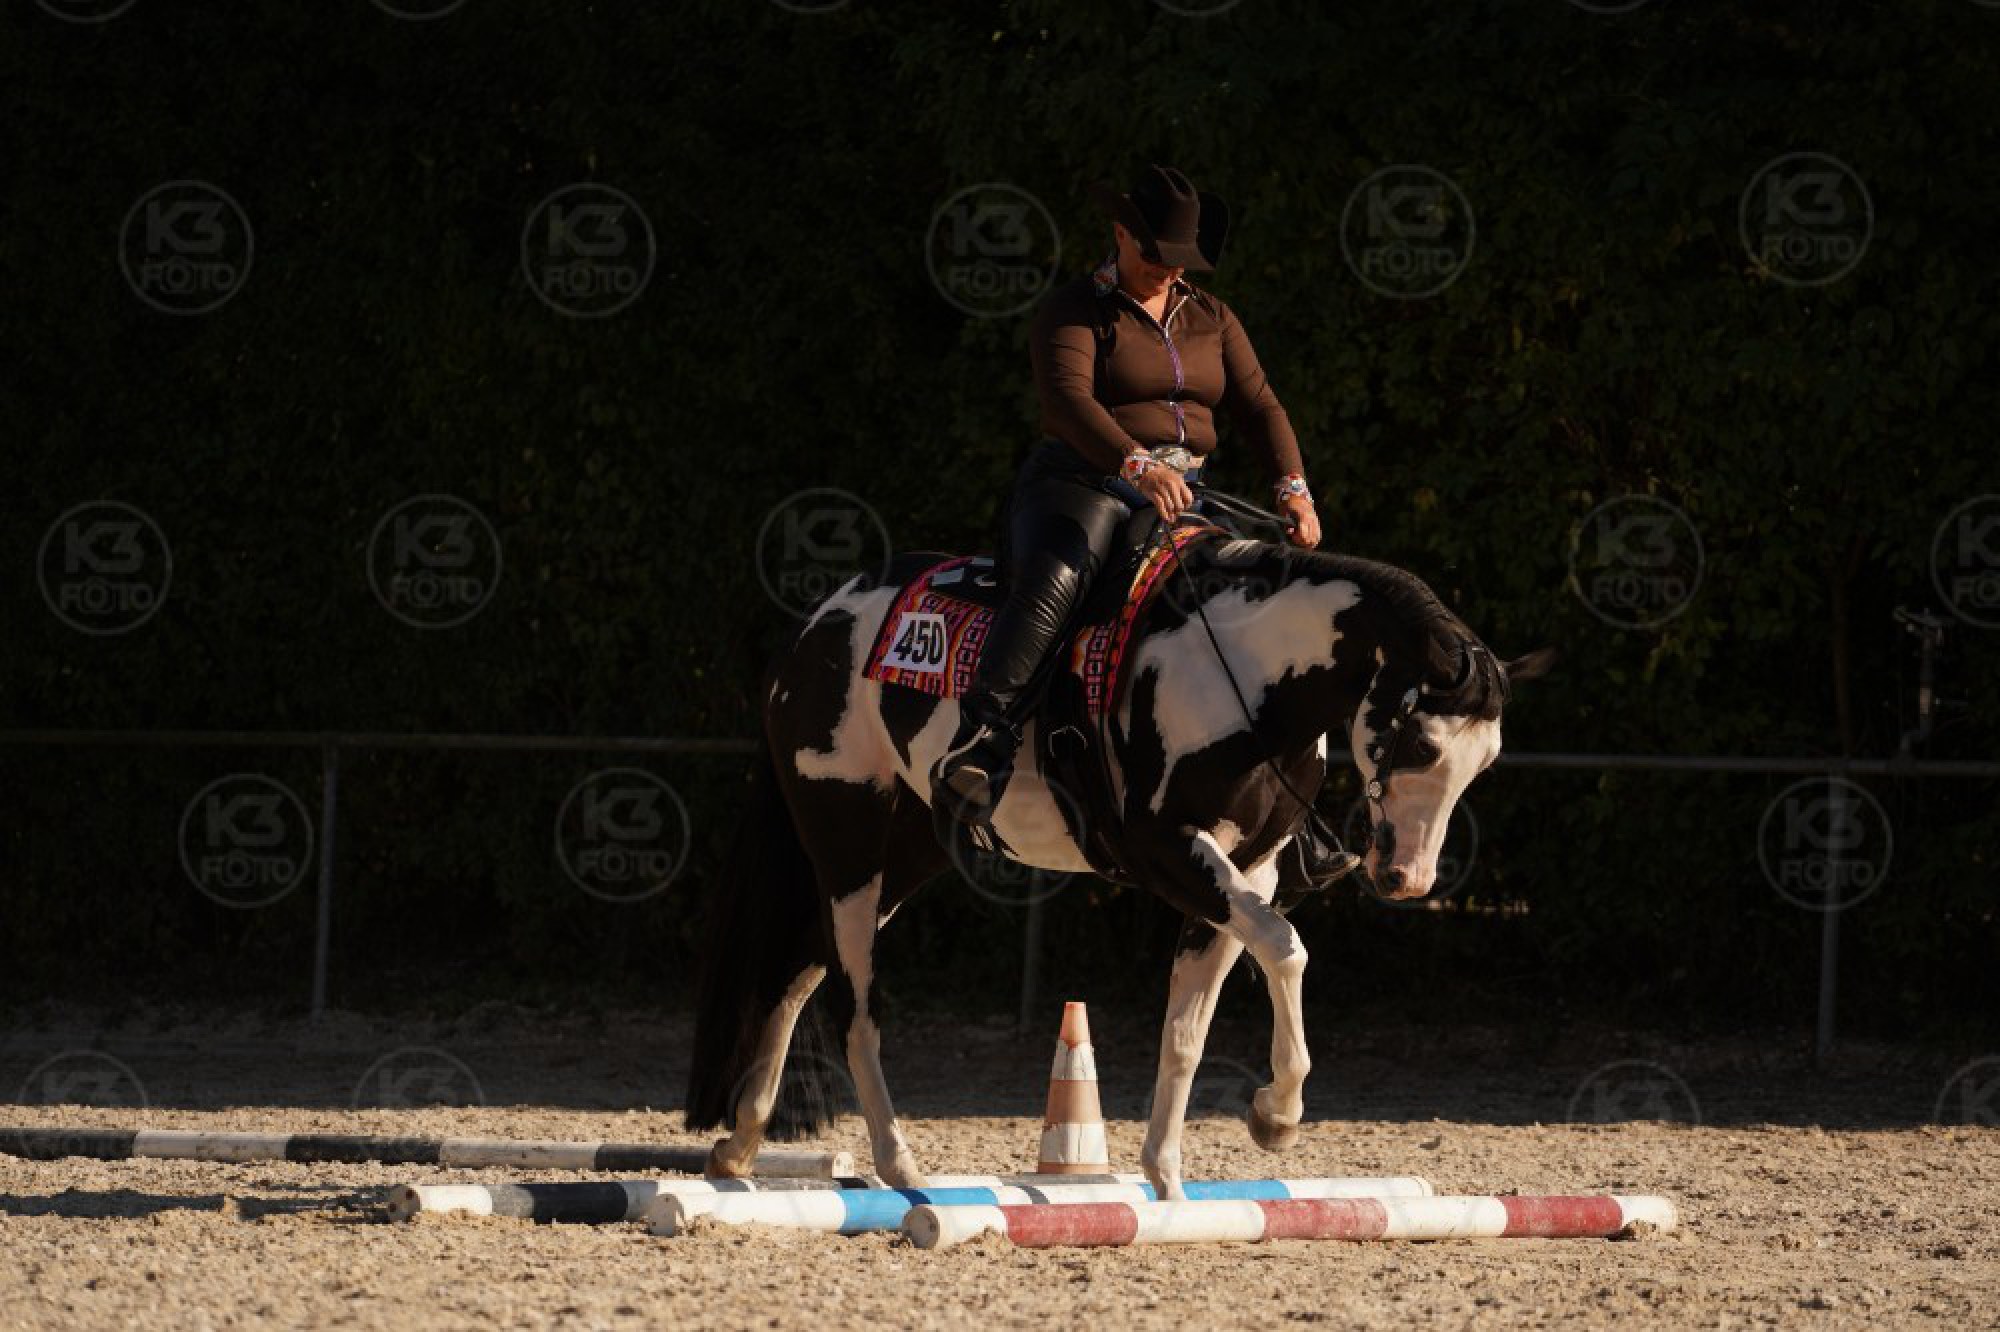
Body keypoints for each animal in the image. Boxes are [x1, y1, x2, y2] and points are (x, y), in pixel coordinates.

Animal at [684, 521, 1552, 1200]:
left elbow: (1189, 1024)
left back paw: (740, 1144)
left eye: (1484, 762)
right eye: (1423, 744)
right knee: (850, 1002)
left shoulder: (1249, 872)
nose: (1409, 878)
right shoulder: (1169, 852)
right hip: (849, 844)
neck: (1247, 676)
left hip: (904, 853)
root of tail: (814, 627)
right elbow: (1285, 948)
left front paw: (1167, 1180)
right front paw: (1275, 1116)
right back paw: (899, 1167)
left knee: (799, 968)